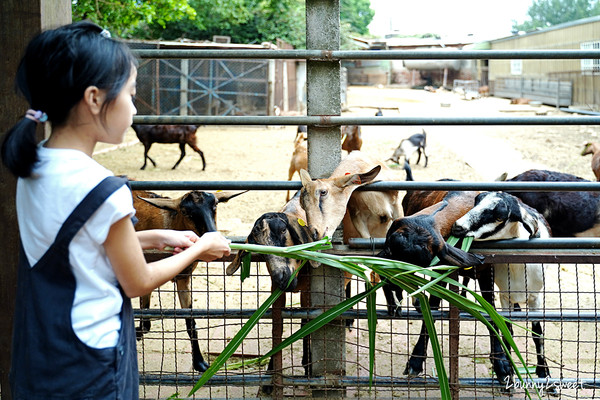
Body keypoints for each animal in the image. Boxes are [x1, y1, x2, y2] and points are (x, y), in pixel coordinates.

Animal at [132, 188, 245, 372]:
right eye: (185, 212)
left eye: (215, 205)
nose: (213, 236)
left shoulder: (183, 278)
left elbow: (190, 322)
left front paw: (200, 363)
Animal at [450, 192, 552, 382]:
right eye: (476, 202)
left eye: (499, 217)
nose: (457, 227)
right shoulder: (505, 296)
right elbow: (507, 330)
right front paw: (509, 367)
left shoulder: (536, 297)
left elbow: (537, 333)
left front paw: (544, 372)